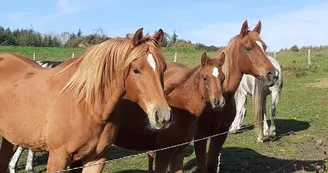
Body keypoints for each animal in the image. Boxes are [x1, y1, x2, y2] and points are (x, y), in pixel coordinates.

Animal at [0, 28, 173, 173]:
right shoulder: (58, 158)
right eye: (136, 70)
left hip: (10, 139)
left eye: (163, 68)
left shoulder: (96, 159)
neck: (88, 106)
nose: (163, 116)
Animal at [193, 20, 280, 173]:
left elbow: (211, 164)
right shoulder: (200, 137)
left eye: (264, 47)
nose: (273, 74)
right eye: (248, 48)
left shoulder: (220, 135)